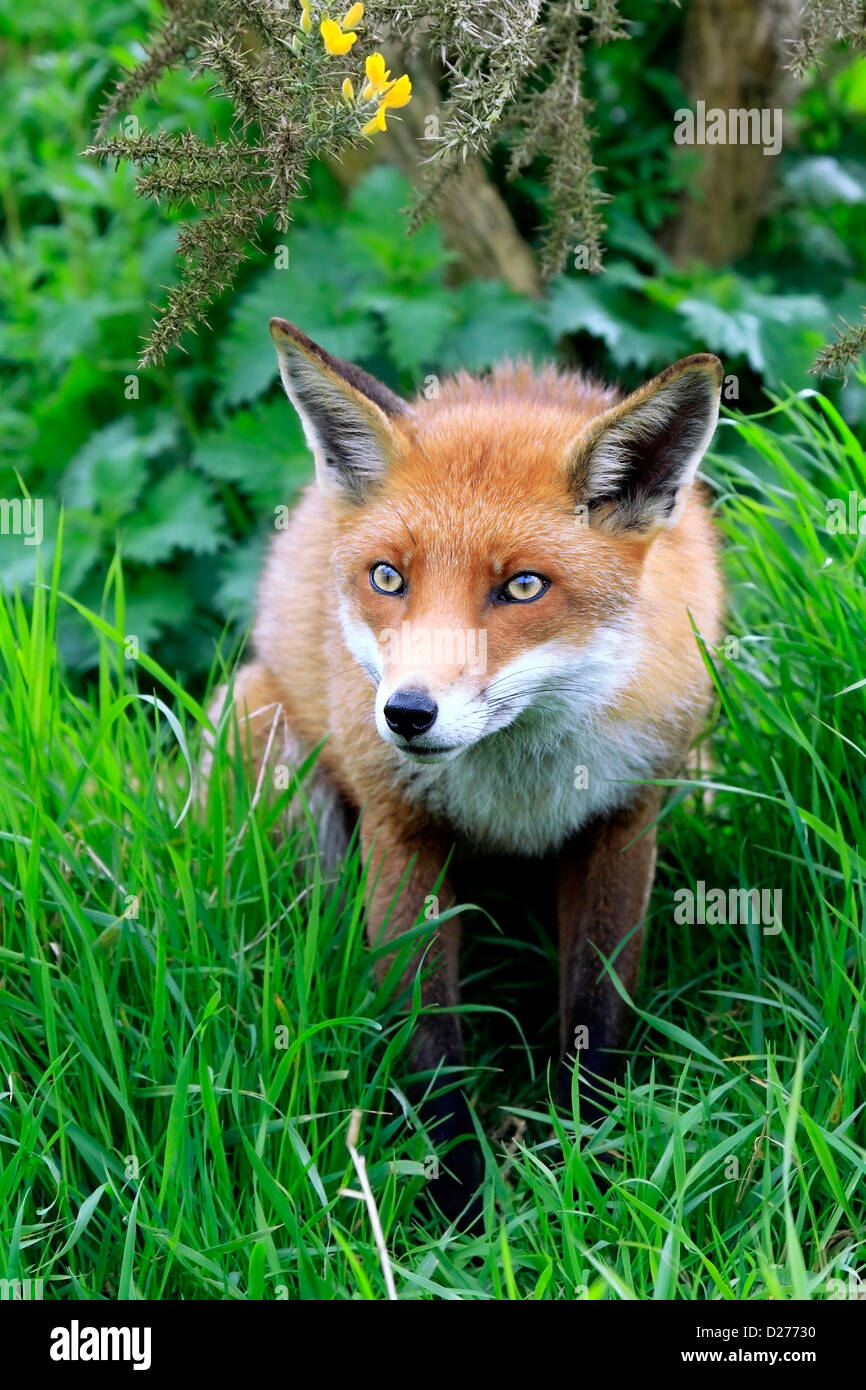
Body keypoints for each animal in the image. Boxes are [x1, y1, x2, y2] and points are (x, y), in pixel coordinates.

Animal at [211, 317, 724, 1223]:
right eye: (388, 577)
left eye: (521, 587)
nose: (406, 713)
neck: (518, 786)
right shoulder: (400, 830)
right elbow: (431, 1041)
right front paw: (455, 1204)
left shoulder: (625, 821)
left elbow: (596, 1015)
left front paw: (588, 1178)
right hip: (277, 768)